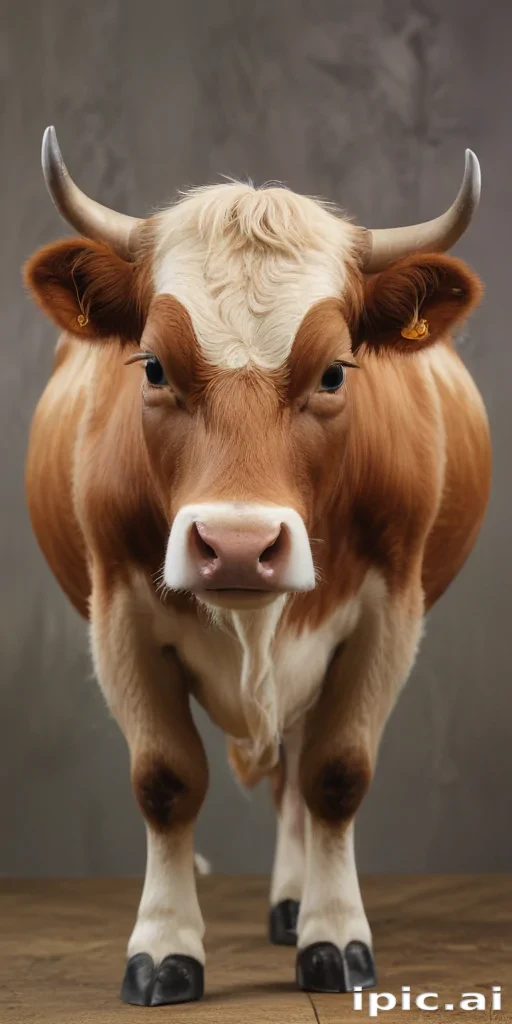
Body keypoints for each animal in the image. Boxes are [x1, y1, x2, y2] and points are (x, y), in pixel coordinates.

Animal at [24, 127, 491, 1007]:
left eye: (335, 371)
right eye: (153, 366)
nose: (238, 543)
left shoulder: (389, 613)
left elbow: (336, 774)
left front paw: (334, 934)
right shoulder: (117, 614)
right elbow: (166, 780)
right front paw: (164, 946)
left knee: (298, 772)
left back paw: (293, 903)